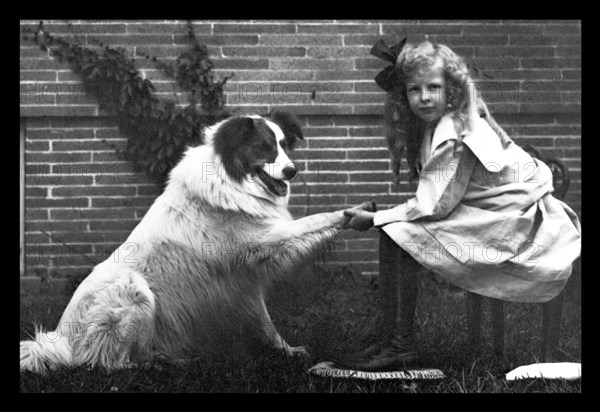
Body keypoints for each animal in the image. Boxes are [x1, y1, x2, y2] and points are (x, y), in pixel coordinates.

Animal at [21, 110, 368, 374]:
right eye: (263, 147)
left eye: (284, 146)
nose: (292, 171)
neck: (232, 181)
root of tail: (61, 342)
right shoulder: (266, 243)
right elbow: (315, 220)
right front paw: (352, 213)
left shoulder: (245, 283)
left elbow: (266, 323)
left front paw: (288, 350)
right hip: (135, 291)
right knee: (106, 363)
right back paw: (156, 365)